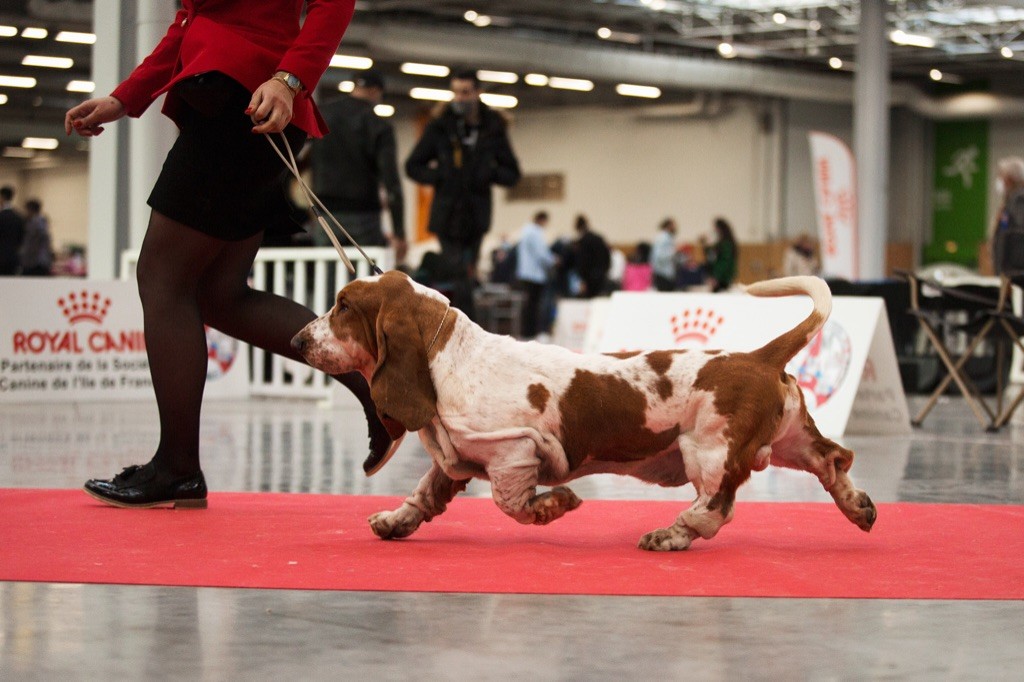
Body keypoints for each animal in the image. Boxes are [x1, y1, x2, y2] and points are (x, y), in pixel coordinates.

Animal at [292, 268, 876, 548]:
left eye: (342, 305)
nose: (297, 340)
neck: (450, 355)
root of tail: (758, 356)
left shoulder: (514, 453)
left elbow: (512, 503)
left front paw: (557, 505)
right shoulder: (455, 459)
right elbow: (423, 494)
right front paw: (395, 521)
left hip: (709, 450)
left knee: (715, 508)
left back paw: (670, 535)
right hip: (789, 440)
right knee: (834, 459)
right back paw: (858, 508)